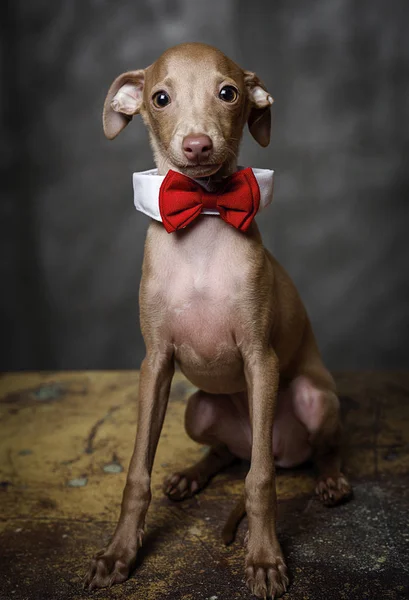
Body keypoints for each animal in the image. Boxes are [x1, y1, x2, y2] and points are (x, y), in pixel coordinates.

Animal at [83, 43, 350, 600]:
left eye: (228, 93)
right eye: (160, 98)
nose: (198, 146)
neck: (205, 211)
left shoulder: (260, 360)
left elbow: (260, 480)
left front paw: (265, 559)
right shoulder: (155, 363)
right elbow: (137, 472)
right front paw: (119, 554)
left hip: (312, 398)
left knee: (313, 448)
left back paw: (330, 479)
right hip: (198, 409)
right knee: (226, 454)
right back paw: (191, 474)